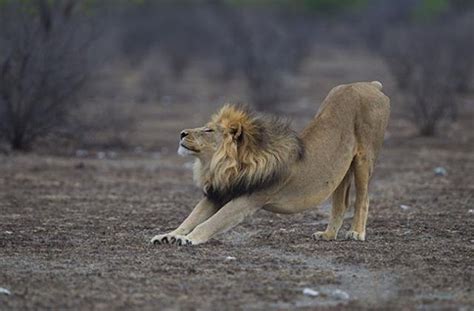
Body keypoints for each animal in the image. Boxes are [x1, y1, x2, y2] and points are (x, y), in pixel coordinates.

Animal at [151, 81, 388, 246]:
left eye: (208, 130)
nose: (182, 133)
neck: (221, 166)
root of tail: (371, 85)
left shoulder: (249, 198)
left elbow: (211, 222)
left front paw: (188, 239)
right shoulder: (218, 193)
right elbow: (191, 218)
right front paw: (168, 235)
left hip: (364, 158)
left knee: (363, 198)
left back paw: (356, 233)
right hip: (341, 169)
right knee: (341, 203)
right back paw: (328, 235)